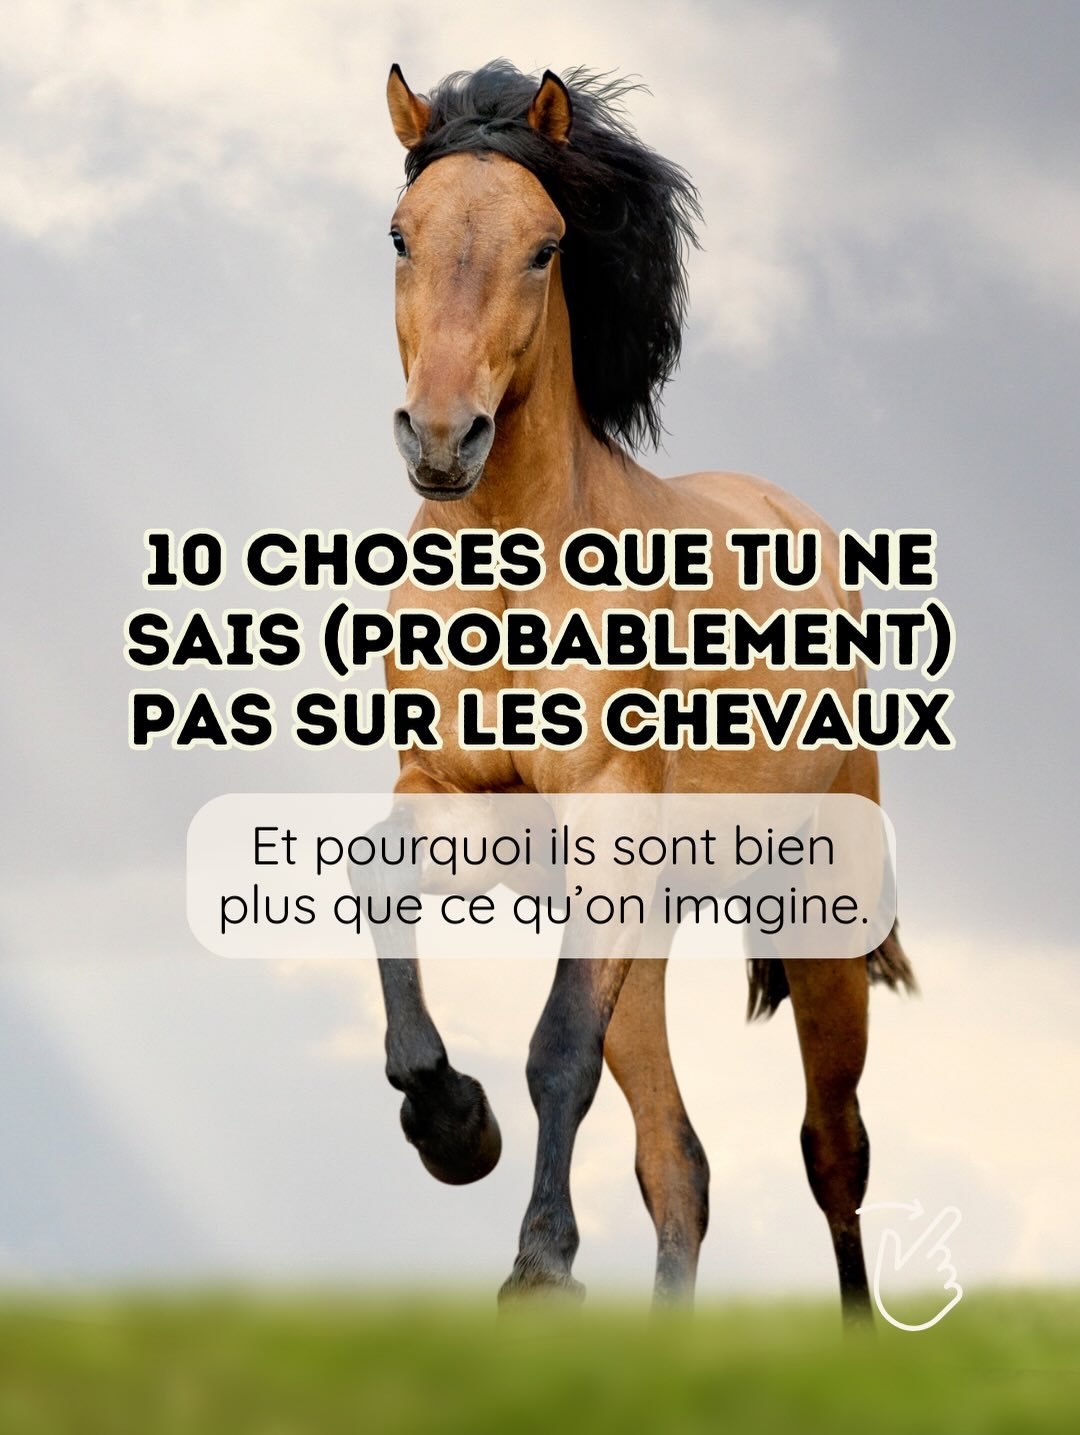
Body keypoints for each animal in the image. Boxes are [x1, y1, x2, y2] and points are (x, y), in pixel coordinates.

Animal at [372, 59, 914, 1322]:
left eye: (545, 247)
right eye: (401, 234)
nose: (442, 438)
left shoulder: (608, 808)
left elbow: (556, 1047)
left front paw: (537, 1268)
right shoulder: (445, 785)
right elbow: (382, 895)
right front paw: (451, 1124)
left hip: (818, 913)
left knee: (832, 1145)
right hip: (654, 919)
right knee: (680, 1163)